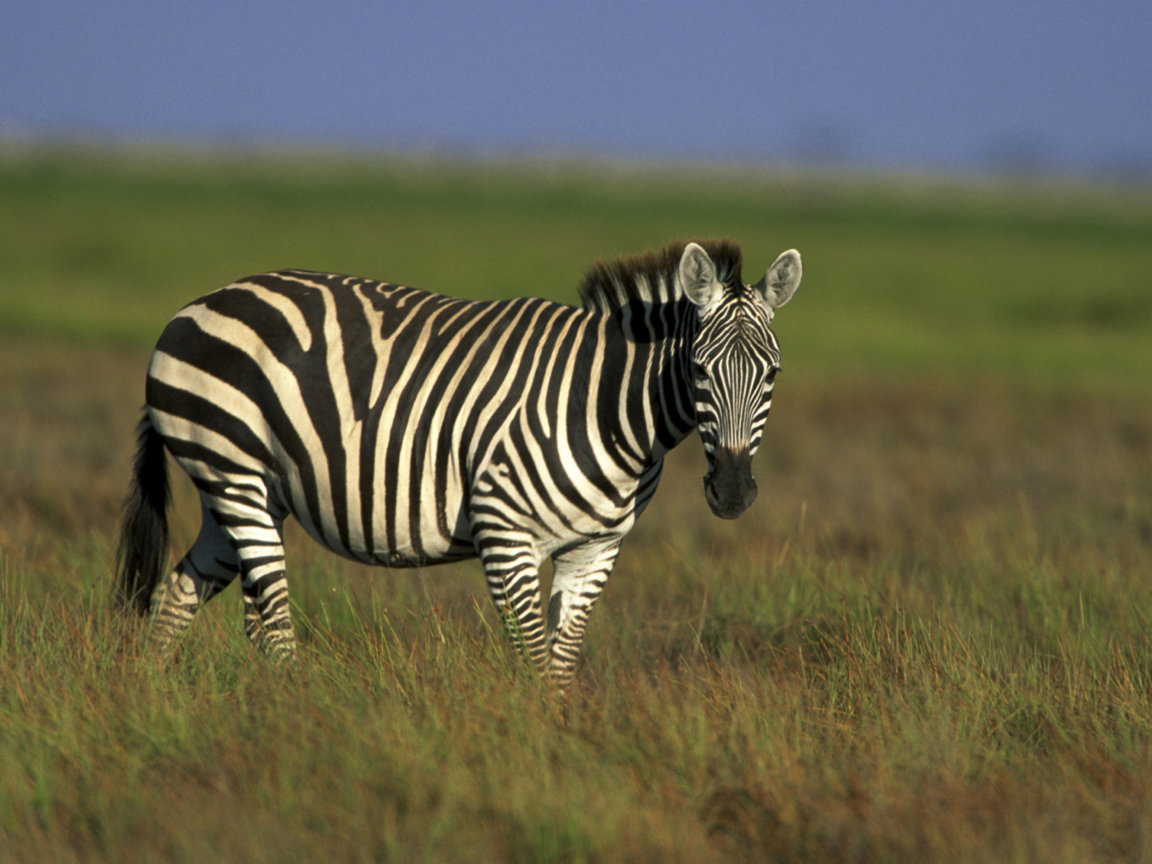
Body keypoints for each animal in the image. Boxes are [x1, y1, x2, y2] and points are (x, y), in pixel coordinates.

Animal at [119, 240, 801, 695]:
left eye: (772, 374)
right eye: (700, 370)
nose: (733, 493)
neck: (607, 406)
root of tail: (199, 304)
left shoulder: (595, 549)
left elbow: (561, 666)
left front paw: (564, 753)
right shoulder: (506, 536)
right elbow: (534, 661)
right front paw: (540, 759)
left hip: (244, 493)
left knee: (180, 596)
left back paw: (149, 703)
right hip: (233, 471)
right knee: (274, 629)